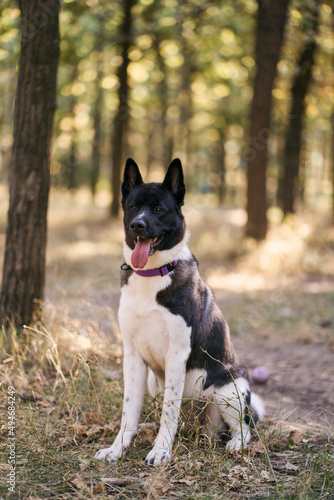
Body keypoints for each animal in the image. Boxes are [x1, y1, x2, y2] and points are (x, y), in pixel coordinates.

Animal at [95, 158, 264, 466]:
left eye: (159, 209)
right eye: (133, 208)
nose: (137, 225)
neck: (152, 274)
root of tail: (197, 427)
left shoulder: (176, 354)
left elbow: (169, 410)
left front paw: (161, 450)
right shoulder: (133, 356)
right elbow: (129, 410)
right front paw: (117, 448)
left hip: (229, 387)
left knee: (244, 428)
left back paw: (236, 444)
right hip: (154, 381)